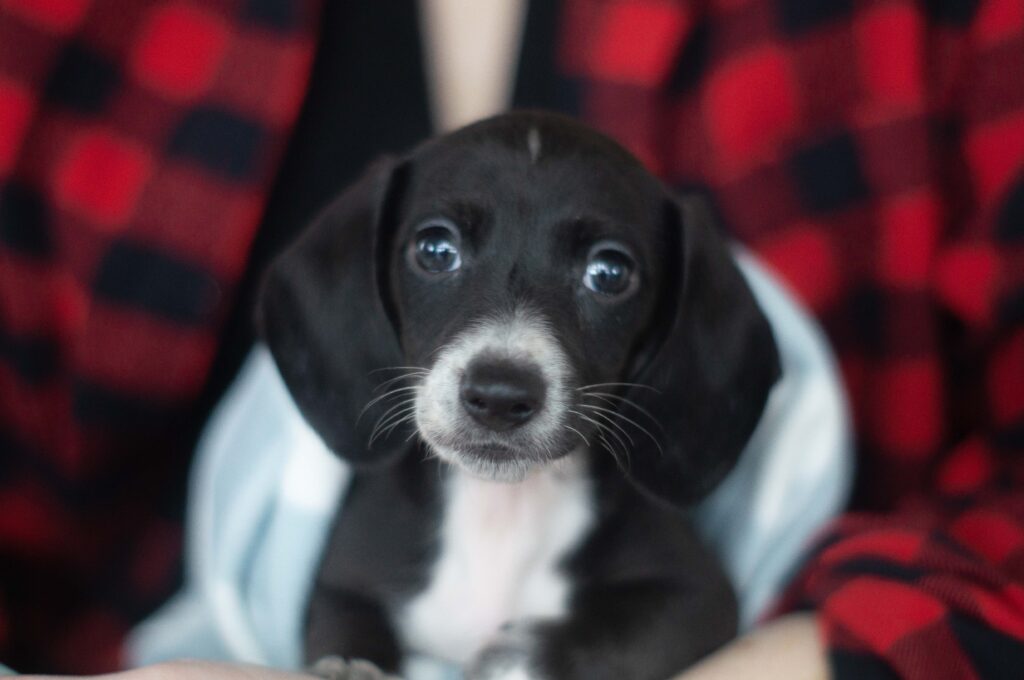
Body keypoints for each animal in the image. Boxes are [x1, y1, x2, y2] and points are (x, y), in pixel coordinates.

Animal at [260, 111, 778, 680]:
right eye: (435, 250)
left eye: (610, 273)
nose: (500, 397)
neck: (501, 514)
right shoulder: (343, 585)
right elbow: (347, 632)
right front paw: (351, 667)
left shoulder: (695, 597)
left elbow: (596, 640)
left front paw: (509, 660)